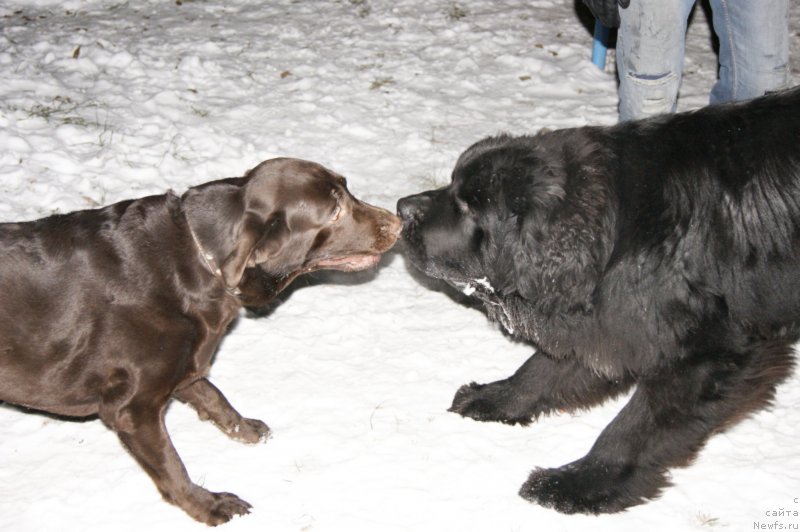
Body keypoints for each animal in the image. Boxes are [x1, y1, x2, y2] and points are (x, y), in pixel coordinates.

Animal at [0, 157, 400, 524]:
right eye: (334, 211)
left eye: (346, 189)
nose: (398, 222)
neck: (201, 263)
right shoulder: (131, 409)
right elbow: (172, 467)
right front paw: (208, 506)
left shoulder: (184, 363)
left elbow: (212, 394)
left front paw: (244, 429)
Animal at [398, 88, 800, 516]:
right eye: (453, 185)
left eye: (470, 206)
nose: (402, 208)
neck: (616, 235)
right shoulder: (604, 315)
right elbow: (543, 367)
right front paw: (497, 398)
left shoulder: (711, 351)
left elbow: (636, 425)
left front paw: (580, 483)